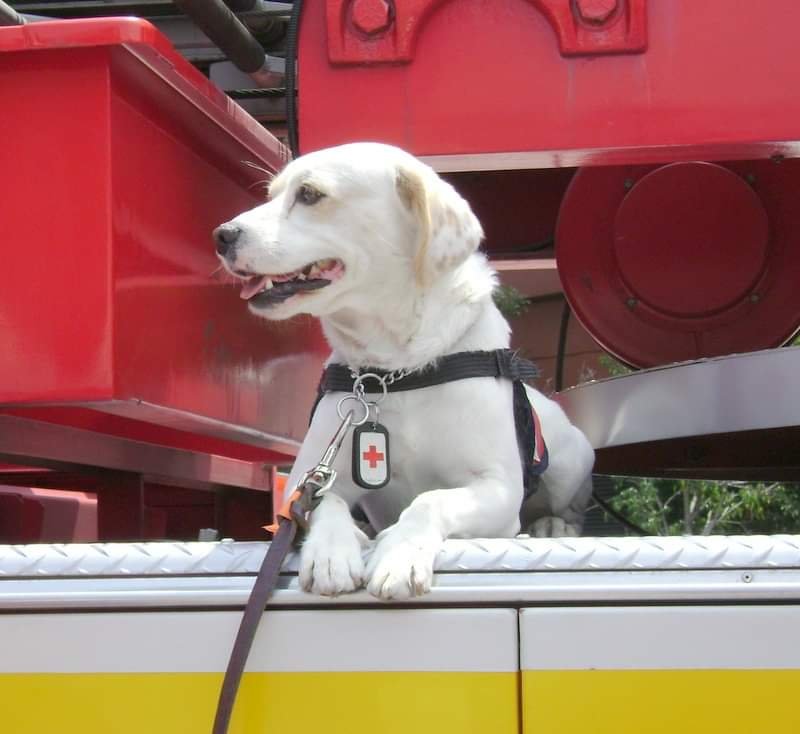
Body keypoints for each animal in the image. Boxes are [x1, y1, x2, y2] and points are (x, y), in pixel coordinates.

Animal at [214, 142, 592, 600]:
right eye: (270, 194)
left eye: (309, 194)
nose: (221, 236)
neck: (395, 369)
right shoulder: (308, 479)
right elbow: (326, 503)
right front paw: (331, 552)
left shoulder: (498, 488)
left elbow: (431, 500)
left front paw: (400, 554)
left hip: (572, 459)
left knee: (564, 508)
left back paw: (552, 525)